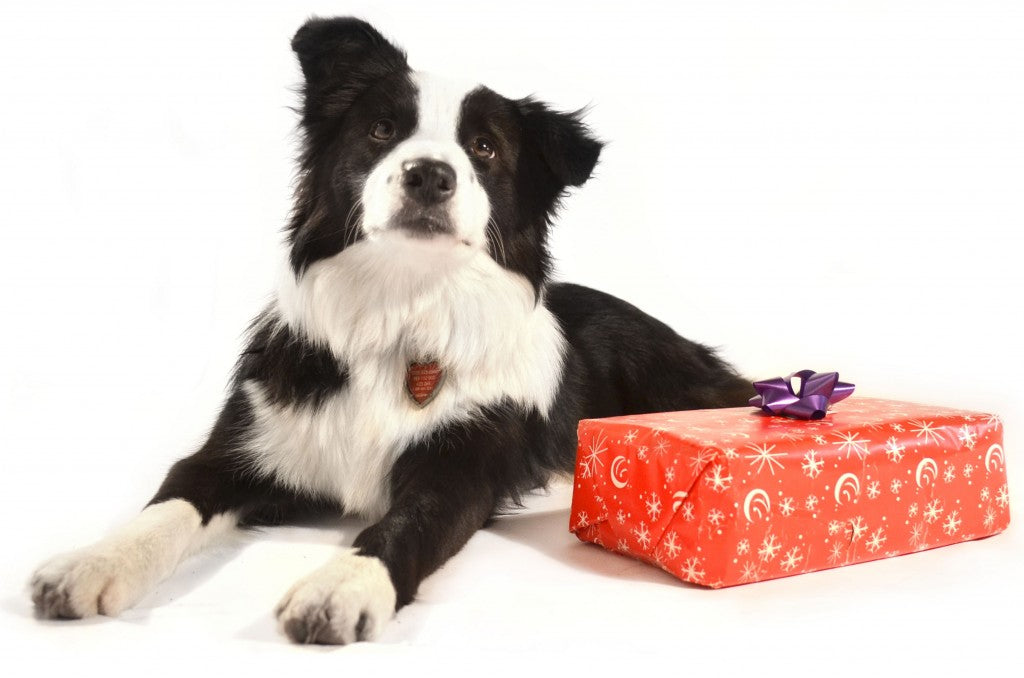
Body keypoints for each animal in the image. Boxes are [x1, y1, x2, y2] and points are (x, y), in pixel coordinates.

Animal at [32, 18, 753, 647]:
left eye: (484, 148)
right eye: (382, 130)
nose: (429, 174)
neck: (401, 306)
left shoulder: (460, 467)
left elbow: (405, 526)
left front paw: (342, 586)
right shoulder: (240, 444)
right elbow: (167, 505)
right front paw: (92, 562)